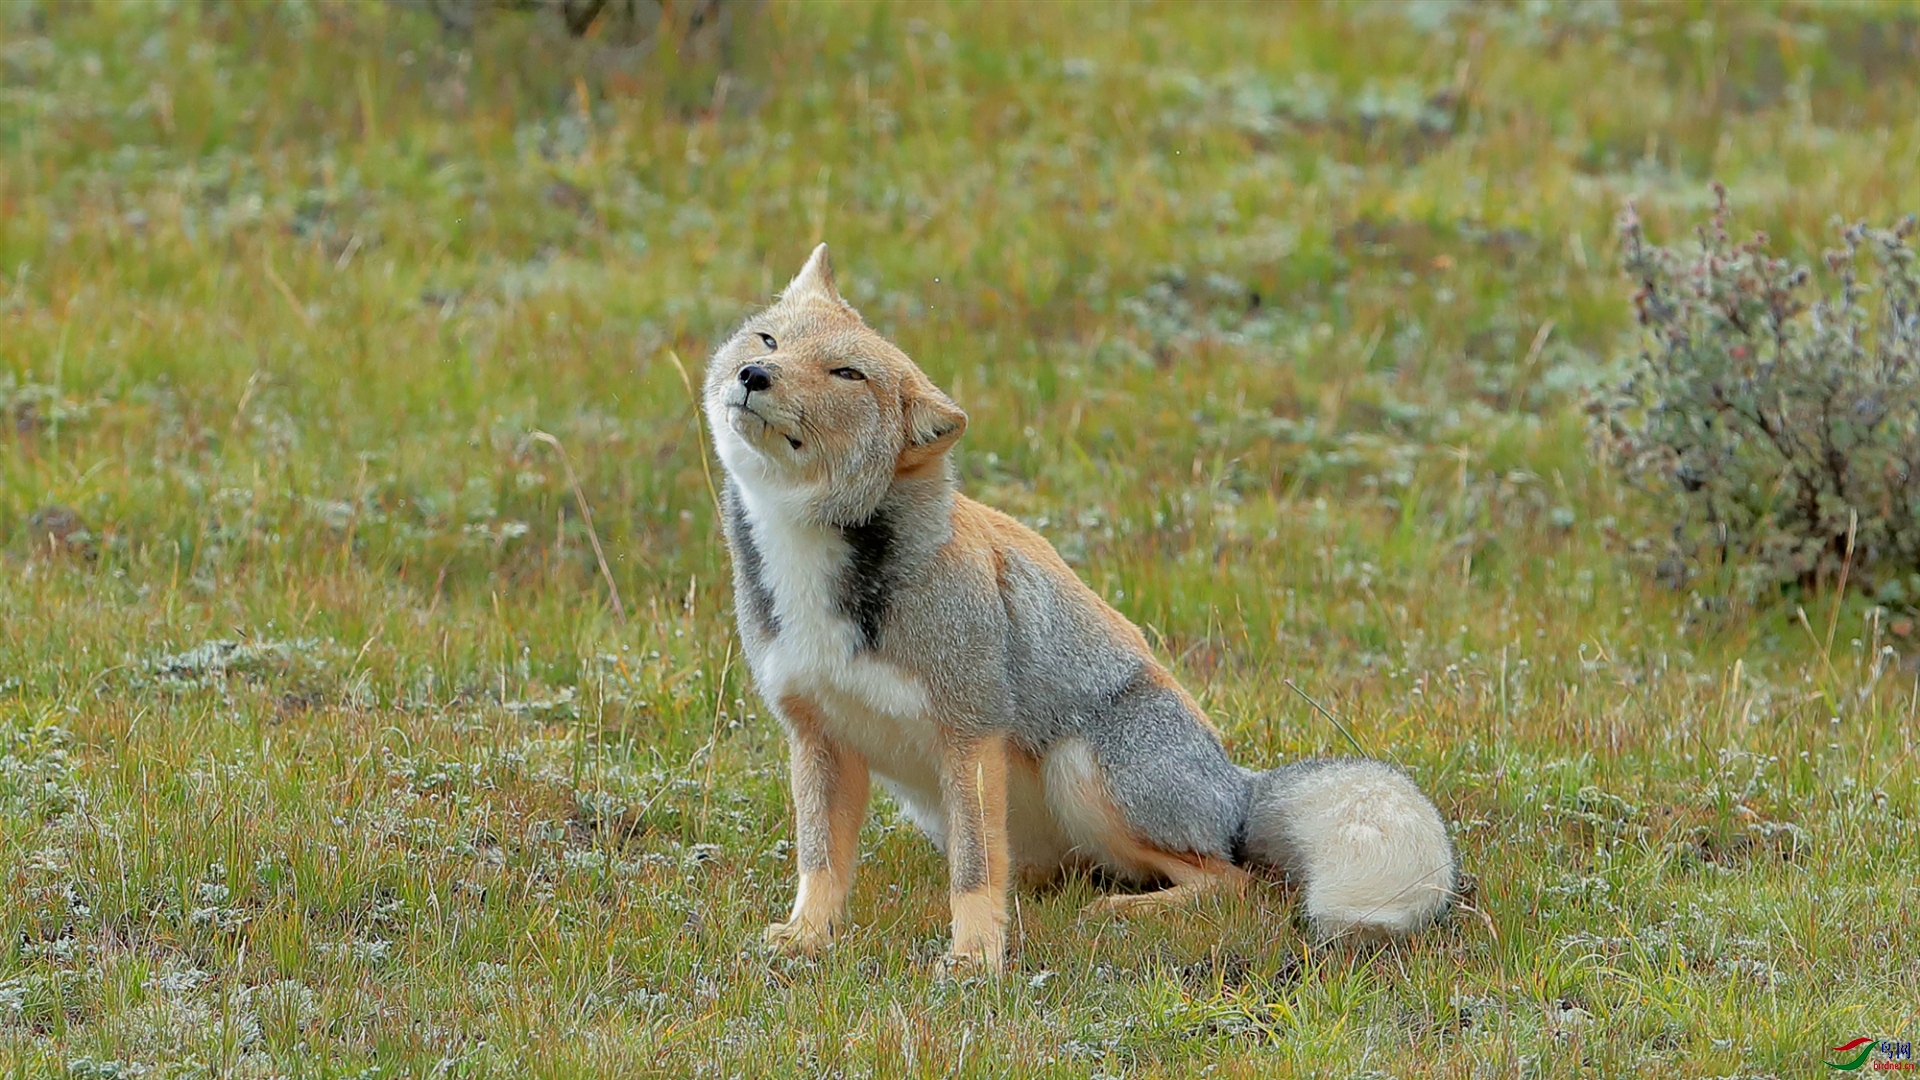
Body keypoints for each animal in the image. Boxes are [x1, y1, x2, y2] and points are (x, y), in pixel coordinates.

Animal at [706, 242, 1451, 968]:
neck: (817, 574)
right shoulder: (816, 735)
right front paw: (808, 937)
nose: (753, 375)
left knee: (1228, 881)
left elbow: (974, 874)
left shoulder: (969, 729)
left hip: (1083, 772)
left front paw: (975, 958)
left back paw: (1124, 913)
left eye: (845, 374)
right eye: (769, 339)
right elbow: (822, 862)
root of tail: (1238, 787)